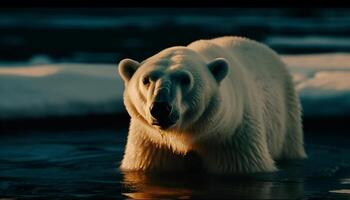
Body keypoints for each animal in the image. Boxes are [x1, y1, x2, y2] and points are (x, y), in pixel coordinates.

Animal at [117, 36, 306, 174]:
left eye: (185, 79)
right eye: (146, 79)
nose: (161, 108)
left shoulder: (233, 138)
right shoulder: (151, 144)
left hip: (287, 114)